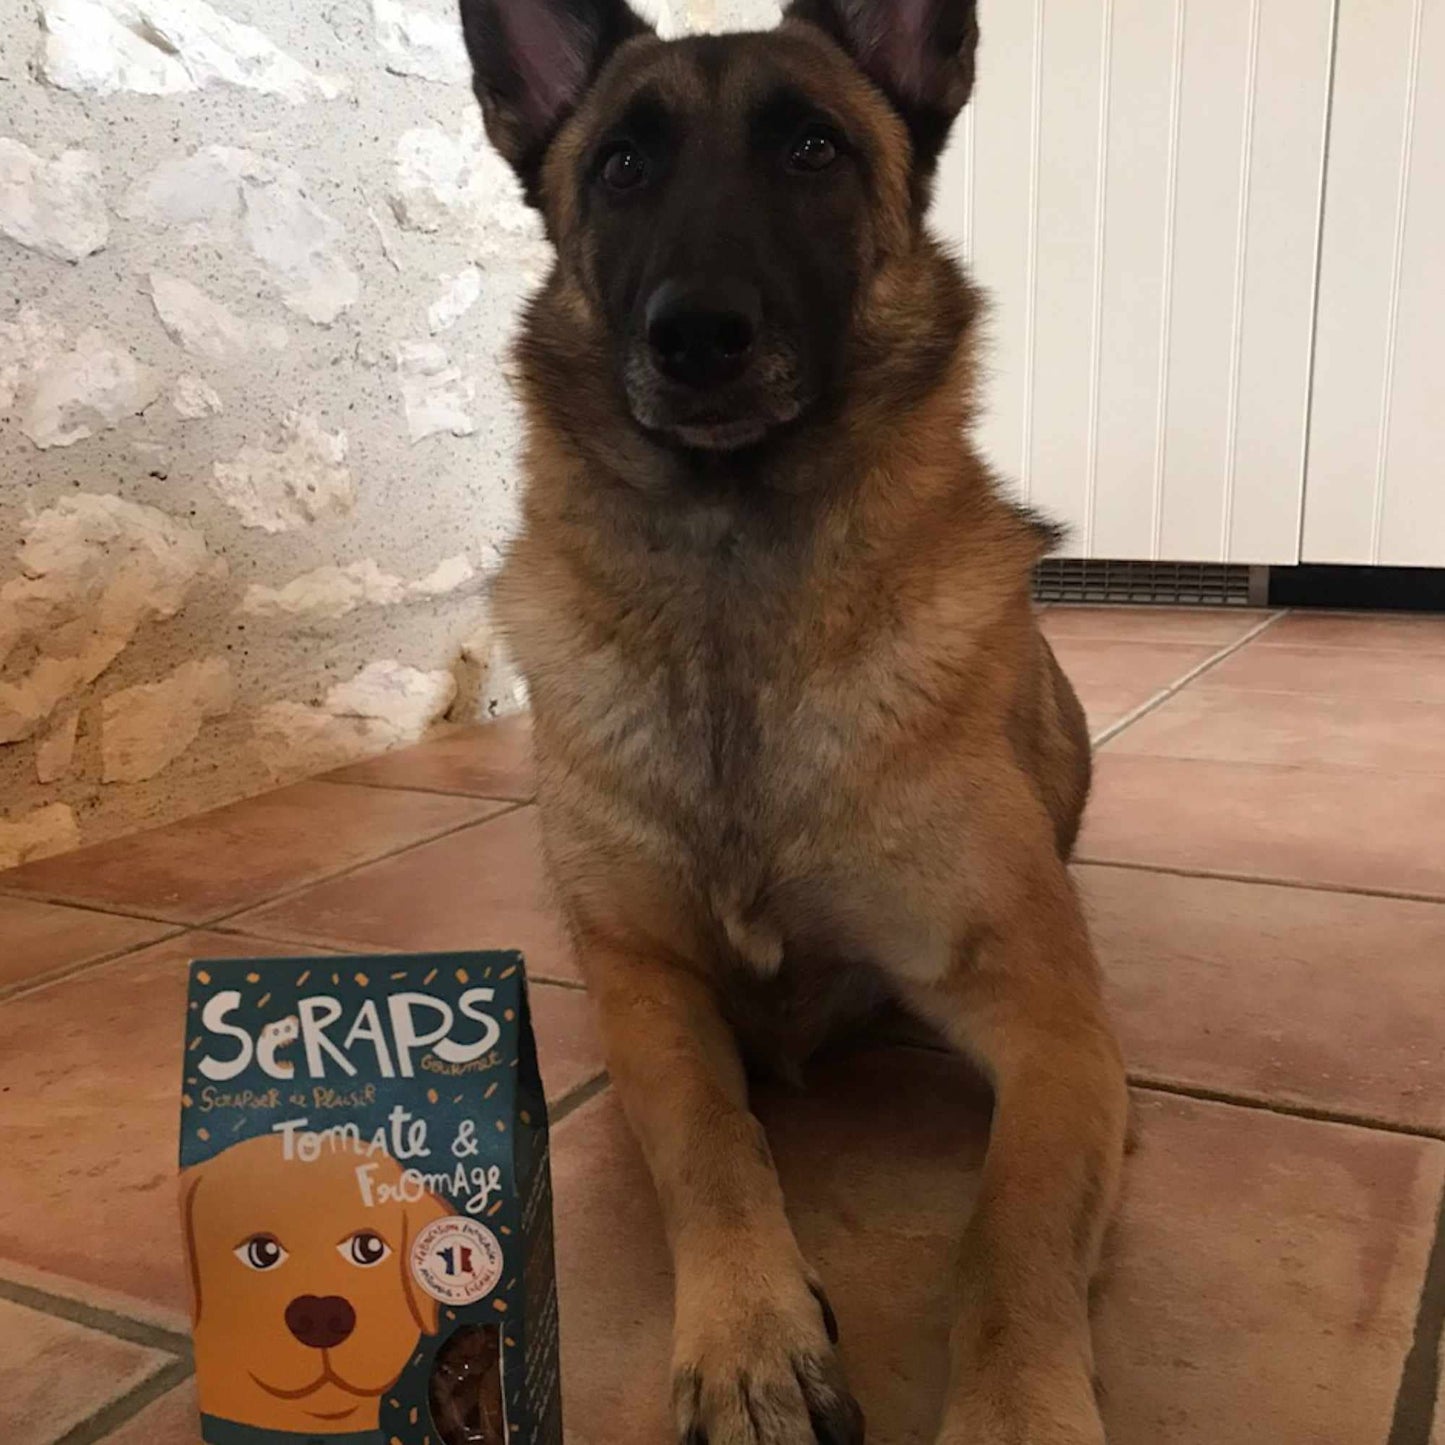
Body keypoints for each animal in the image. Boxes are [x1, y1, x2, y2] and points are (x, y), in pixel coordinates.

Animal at [462, 0, 1127, 1439]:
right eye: (621, 166)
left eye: (812, 148)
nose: (696, 334)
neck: (734, 586)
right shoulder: (643, 987)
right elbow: (710, 1146)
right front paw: (751, 1339)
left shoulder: (1056, 1032)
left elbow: (1010, 1234)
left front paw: (1015, 1406)